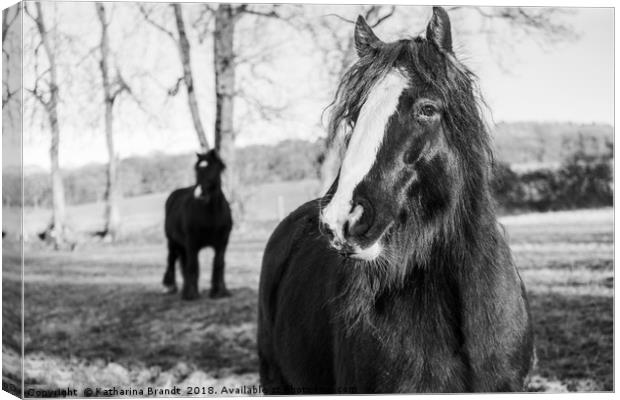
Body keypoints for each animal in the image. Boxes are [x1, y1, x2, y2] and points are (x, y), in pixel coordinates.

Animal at [162, 150, 232, 300]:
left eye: (213, 168)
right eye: (197, 169)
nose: (200, 194)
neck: (211, 215)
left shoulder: (222, 242)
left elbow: (219, 263)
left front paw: (219, 291)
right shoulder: (192, 243)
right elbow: (193, 265)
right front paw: (191, 294)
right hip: (173, 242)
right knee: (172, 260)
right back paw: (171, 287)